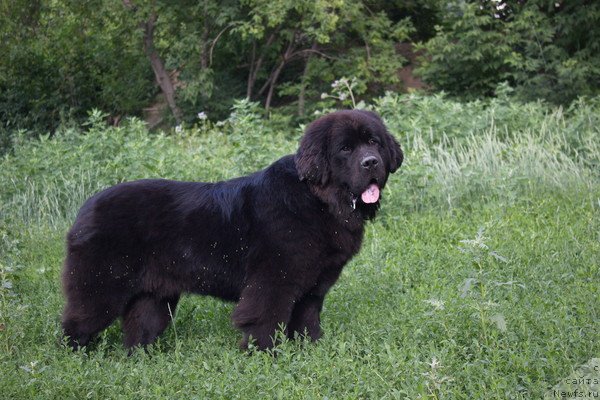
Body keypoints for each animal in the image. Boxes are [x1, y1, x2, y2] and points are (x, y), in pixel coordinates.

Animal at [62, 109, 404, 350]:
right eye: (345, 149)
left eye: (373, 142)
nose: (371, 162)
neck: (319, 200)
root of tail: (85, 208)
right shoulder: (273, 279)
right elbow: (266, 319)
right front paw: (265, 355)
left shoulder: (313, 285)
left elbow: (307, 319)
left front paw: (312, 349)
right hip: (100, 285)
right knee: (76, 322)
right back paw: (75, 358)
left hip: (154, 295)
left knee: (139, 325)